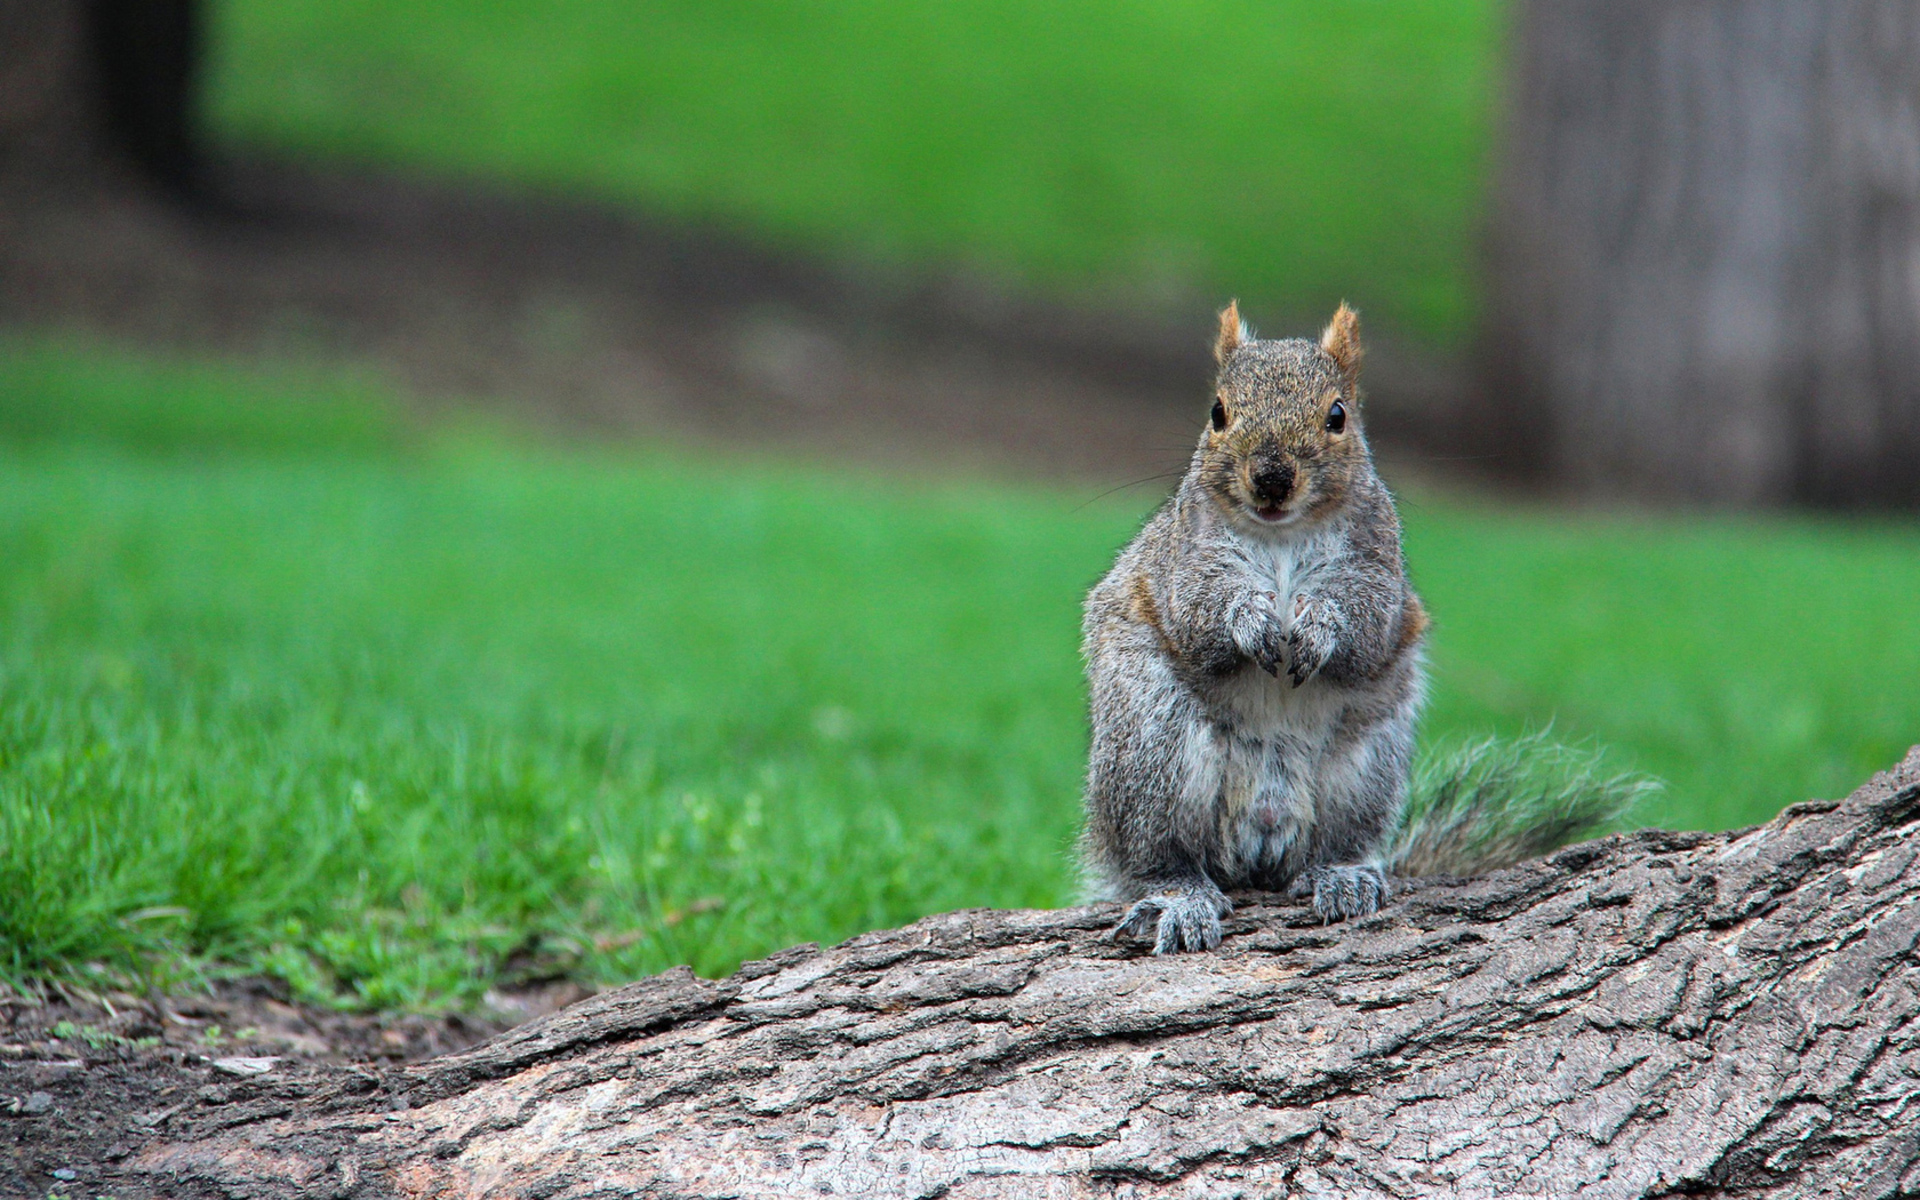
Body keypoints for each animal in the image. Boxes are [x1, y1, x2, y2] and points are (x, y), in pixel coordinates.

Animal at [1082, 301, 1428, 956]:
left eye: (1338, 416)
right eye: (1217, 412)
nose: (1271, 477)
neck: (1281, 534)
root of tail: (1261, 830)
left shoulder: (1379, 567)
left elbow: (1367, 622)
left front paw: (1320, 626)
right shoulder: (1186, 559)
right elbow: (1199, 612)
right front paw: (1250, 620)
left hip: (1364, 767)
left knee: (1332, 844)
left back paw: (1340, 875)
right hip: (1154, 749)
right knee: (1161, 856)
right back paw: (1179, 896)